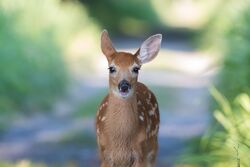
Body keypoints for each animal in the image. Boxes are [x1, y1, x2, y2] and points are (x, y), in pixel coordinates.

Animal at [95, 30, 162, 167]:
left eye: (136, 68)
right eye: (111, 68)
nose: (124, 85)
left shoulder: (140, 153)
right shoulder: (104, 155)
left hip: (153, 147)